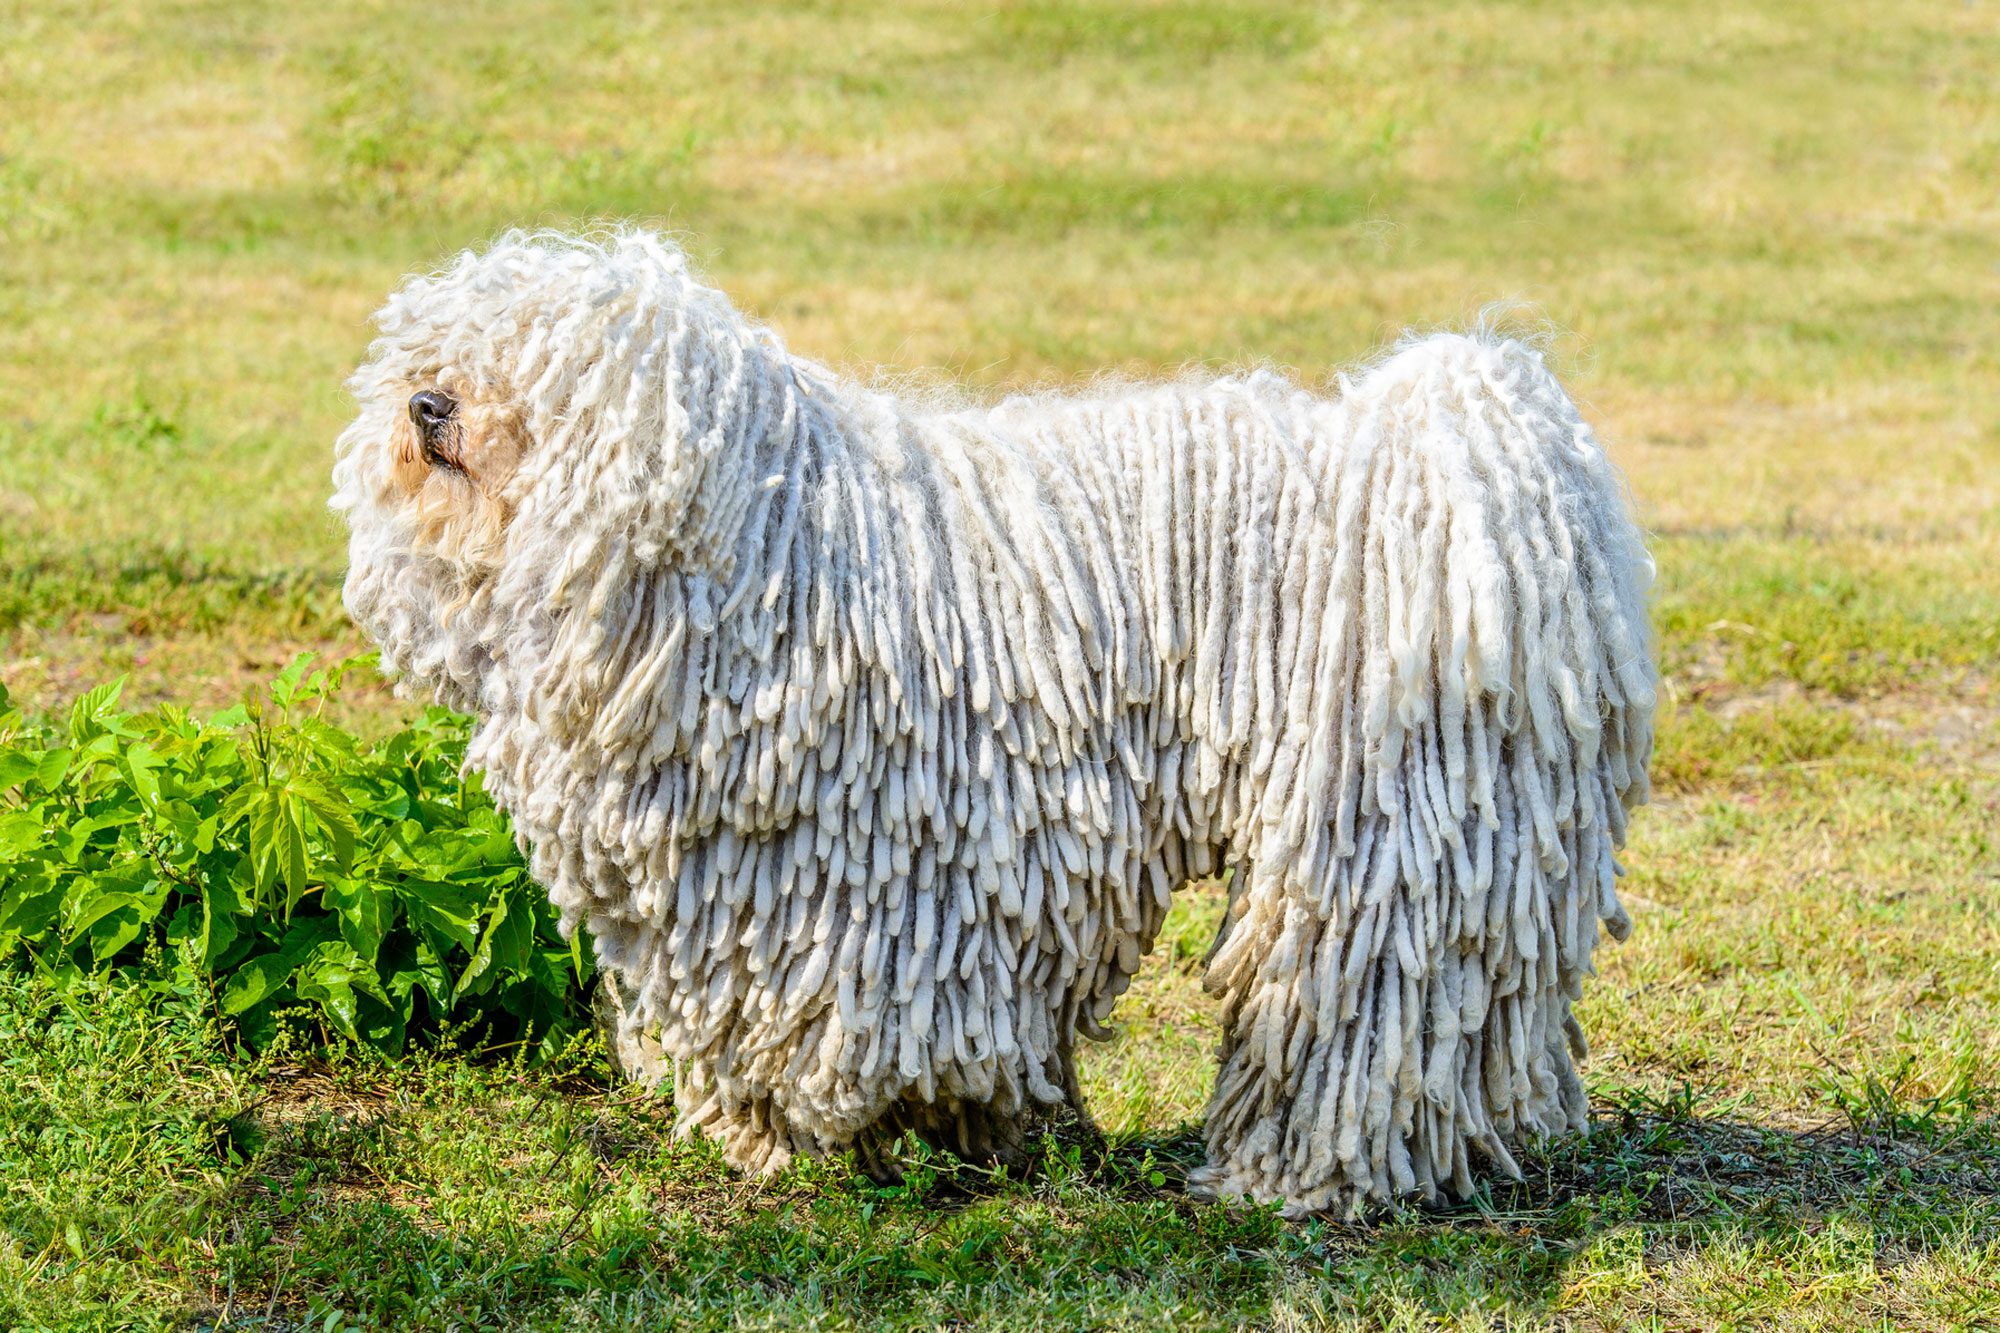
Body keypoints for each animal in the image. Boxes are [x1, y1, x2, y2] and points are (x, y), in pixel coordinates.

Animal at [332, 228, 1656, 1216]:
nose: (428, 402)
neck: (751, 549)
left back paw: (1296, 1177)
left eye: (538, 371)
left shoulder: (867, 876)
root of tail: (1474, 464)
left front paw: (842, 1138)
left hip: (1374, 826)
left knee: (1355, 1005)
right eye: (438, 347)